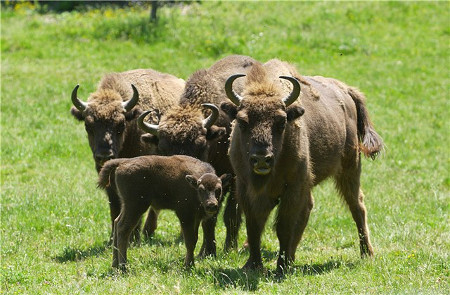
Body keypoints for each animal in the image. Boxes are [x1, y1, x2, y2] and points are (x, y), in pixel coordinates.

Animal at [70, 69, 185, 240]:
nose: (104, 155)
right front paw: (112, 238)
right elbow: (115, 207)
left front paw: (133, 238)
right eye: (88, 125)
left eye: (120, 124)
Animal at [98, 155, 232, 270]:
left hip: (127, 205)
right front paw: (188, 266)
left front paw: (190, 264)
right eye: (201, 189)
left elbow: (195, 239)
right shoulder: (185, 216)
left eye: (219, 189)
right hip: (136, 206)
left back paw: (115, 265)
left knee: (117, 222)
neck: (192, 185)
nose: (211, 205)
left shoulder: (196, 218)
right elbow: (190, 241)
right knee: (123, 228)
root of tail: (122, 163)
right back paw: (124, 267)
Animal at [137, 55, 256, 256]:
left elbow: (229, 214)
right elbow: (208, 217)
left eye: (200, 145)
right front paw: (206, 251)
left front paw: (227, 248)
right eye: (162, 149)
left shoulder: (233, 180)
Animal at [221, 60, 384, 276]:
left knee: (357, 206)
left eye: (281, 121)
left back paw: (367, 253)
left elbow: (283, 227)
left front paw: (280, 268)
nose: (262, 159)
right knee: (309, 208)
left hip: (350, 167)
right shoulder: (245, 188)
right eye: (242, 121)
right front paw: (253, 265)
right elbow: (254, 225)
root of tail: (347, 91)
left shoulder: (292, 188)